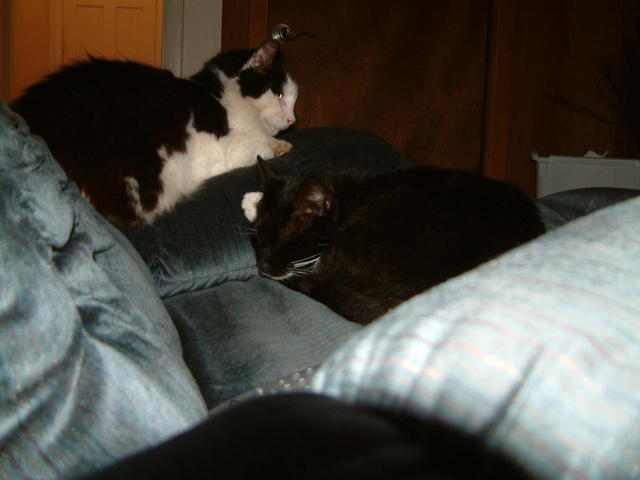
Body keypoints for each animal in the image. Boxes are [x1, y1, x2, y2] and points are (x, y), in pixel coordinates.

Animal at [10, 39, 297, 226]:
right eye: (280, 96)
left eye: (293, 102)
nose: (292, 120)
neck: (220, 96)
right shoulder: (222, 151)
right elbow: (260, 148)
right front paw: (278, 146)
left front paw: (281, 143)